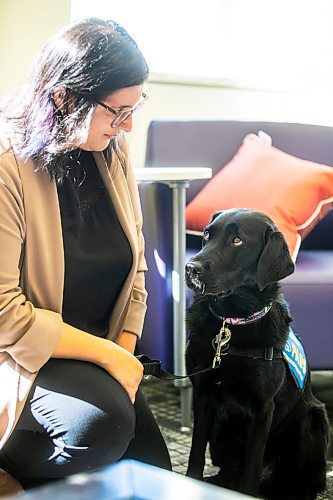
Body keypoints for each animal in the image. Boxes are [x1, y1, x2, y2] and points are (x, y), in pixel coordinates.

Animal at [185, 207, 328, 500]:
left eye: (237, 241)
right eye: (206, 234)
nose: (190, 268)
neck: (231, 322)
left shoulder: (263, 408)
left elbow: (250, 472)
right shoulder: (202, 396)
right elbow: (195, 451)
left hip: (313, 420)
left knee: (303, 482)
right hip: (221, 433)